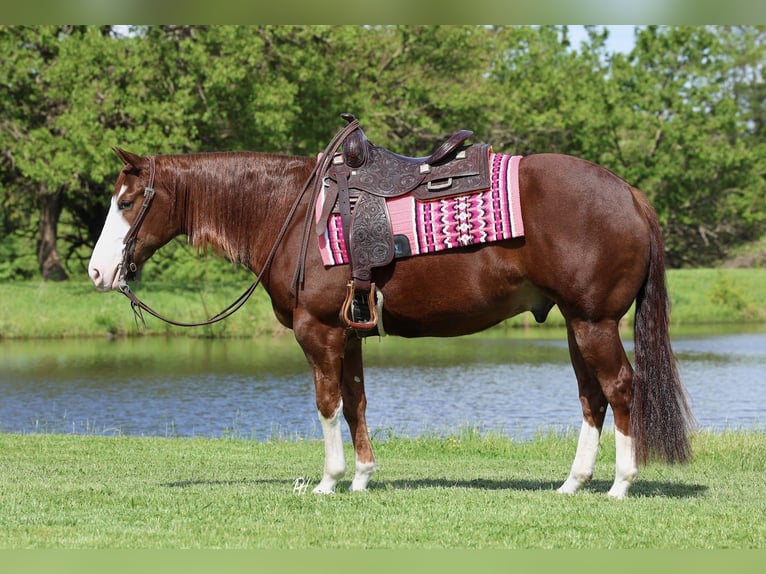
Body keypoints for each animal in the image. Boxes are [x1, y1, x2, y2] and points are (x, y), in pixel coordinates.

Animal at [88, 127, 693, 499]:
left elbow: (328, 403)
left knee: (619, 388)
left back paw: (620, 484)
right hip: (576, 323)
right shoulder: (348, 332)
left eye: (126, 202)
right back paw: (573, 482)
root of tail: (630, 193)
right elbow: (356, 400)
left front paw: (330, 480)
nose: (97, 272)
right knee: (592, 396)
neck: (291, 213)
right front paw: (362, 476)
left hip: (594, 323)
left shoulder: (317, 331)